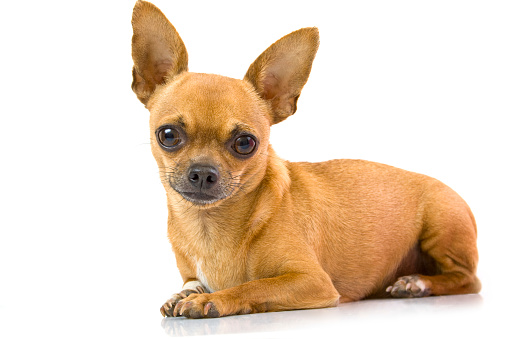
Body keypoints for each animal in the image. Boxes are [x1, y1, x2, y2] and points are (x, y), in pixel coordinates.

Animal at [131, 0, 480, 318]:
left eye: (245, 143)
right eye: (168, 135)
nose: (203, 172)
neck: (209, 224)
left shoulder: (312, 281)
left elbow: (254, 285)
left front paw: (211, 299)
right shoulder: (193, 272)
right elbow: (191, 283)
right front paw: (182, 294)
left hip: (442, 221)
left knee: (467, 279)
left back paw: (417, 283)